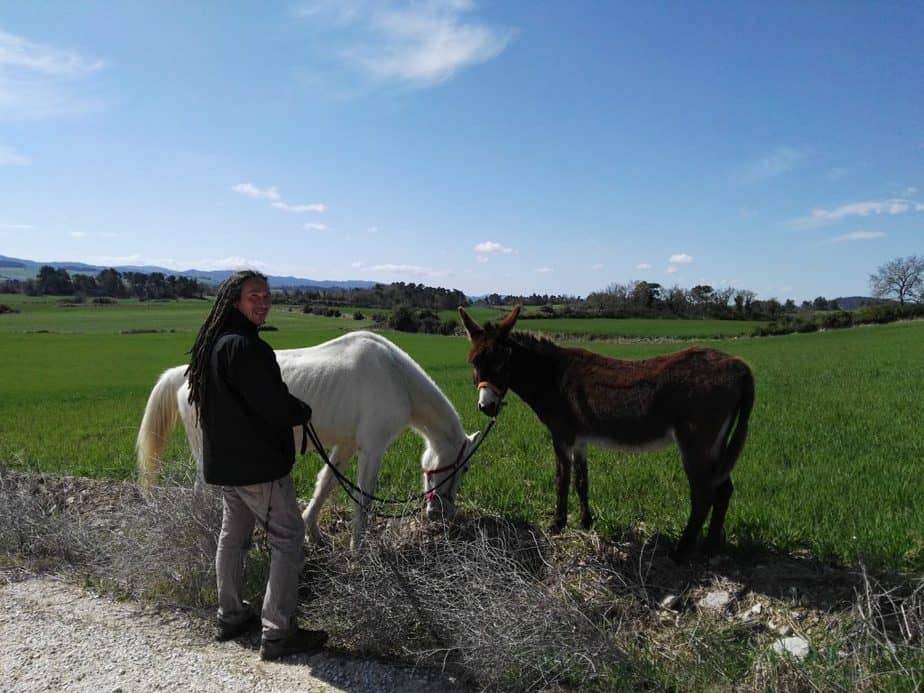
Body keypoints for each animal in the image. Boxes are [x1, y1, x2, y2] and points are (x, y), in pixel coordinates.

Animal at [139, 330, 484, 548]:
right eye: (464, 467)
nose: (441, 514)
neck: (394, 375)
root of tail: (185, 375)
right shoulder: (372, 449)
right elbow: (363, 497)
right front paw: (359, 548)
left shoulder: (346, 445)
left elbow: (326, 484)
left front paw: (313, 532)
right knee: (201, 495)